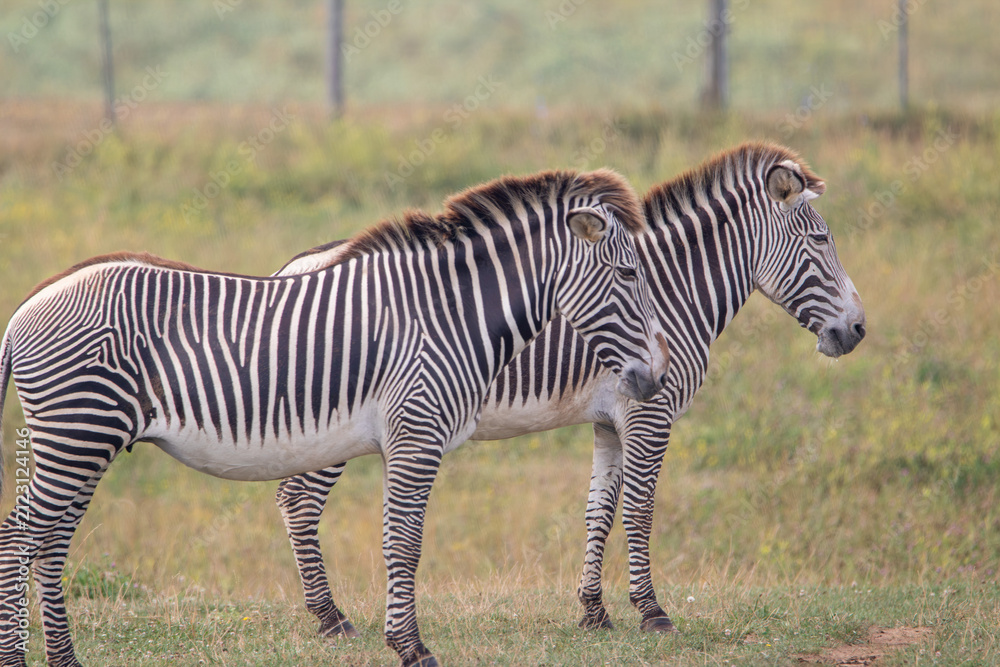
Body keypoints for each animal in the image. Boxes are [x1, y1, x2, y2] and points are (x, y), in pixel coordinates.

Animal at [0, 169, 670, 667]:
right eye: (629, 273)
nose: (656, 379)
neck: (449, 314)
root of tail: (26, 309)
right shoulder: (415, 433)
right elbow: (404, 541)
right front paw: (411, 647)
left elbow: (400, 540)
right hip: (77, 433)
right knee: (19, 538)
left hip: (83, 440)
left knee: (51, 543)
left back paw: (65, 659)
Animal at [270, 142, 867, 638]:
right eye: (821, 240)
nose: (859, 331)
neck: (671, 289)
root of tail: (293, 266)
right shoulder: (650, 412)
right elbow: (641, 510)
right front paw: (652, 613)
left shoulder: (610, 419)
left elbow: (599, 509)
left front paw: (593, 611)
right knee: (298, 503)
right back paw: (331, 618)